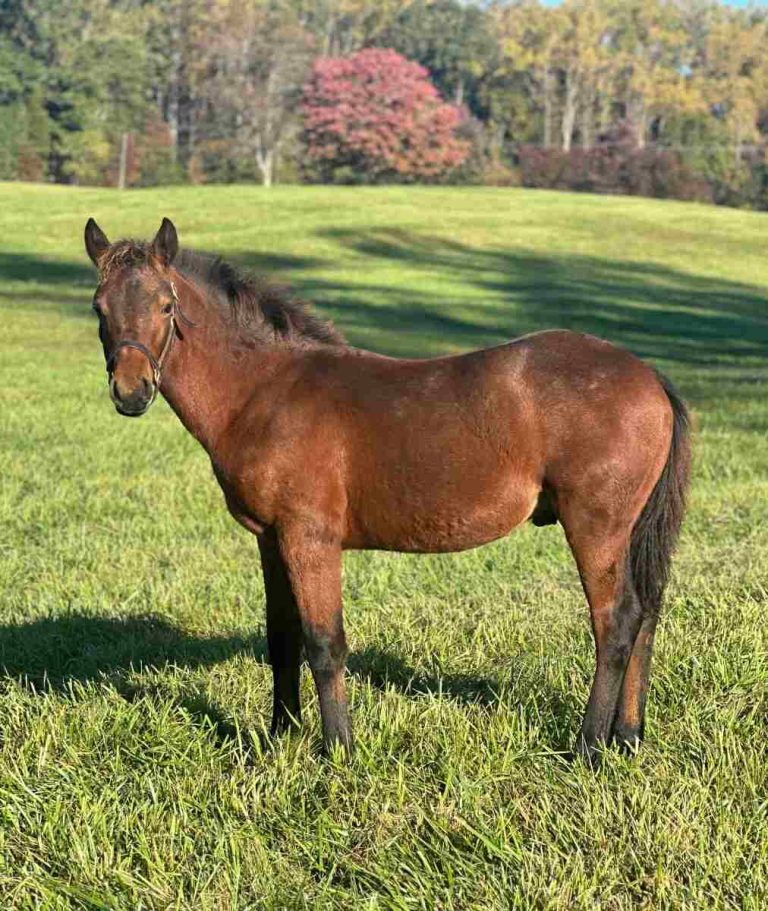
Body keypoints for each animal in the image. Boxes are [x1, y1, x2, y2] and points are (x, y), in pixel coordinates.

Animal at [84, 216, 688, 764]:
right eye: (99, 308)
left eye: (167, 306)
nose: (131, 392)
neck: (265, 390)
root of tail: (650, 376)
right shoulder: (270, 539)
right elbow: (282, 639)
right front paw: (280, 740)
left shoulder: (309, 538)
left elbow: (324, 643)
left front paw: (338, 751)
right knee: (646, 615)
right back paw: (628, 737)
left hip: (596, 527)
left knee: (616, 623)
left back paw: (589, 746)